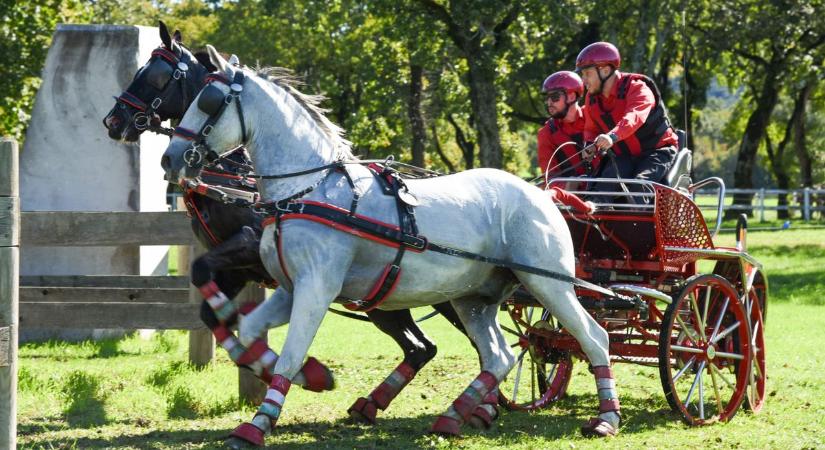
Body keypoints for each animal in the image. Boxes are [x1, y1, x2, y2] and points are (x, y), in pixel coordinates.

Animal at [161, 45, 620, 446]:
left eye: (209, 101)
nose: (170, 158)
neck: (307, 189)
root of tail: (544, 194)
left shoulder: (315, 288)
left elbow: (289, 353)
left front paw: (257, 424)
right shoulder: (290, 288)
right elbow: (254, 332)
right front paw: (314, 376)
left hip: (548, 284)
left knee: (593, 337)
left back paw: (606, 419)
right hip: (473, 298)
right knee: (499, 356)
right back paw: (453, 416)